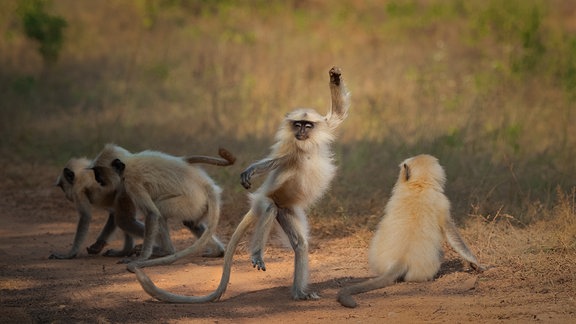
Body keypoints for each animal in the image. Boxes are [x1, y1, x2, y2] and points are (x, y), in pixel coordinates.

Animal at [134, 66, 352, 304]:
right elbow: (273, 162)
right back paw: (257, 254)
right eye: (298, 124)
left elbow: (338, 115)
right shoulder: (289, 150)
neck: (305, 145)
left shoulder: (320, 130)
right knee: (269, 208)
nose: (301, 132)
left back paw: (299, 293)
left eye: (307, 125)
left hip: (287, 210)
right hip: (267, 201)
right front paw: (251, 171)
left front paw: (335, 77)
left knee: (300, 245)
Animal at [338, 156, 486, 308]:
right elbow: (454, 236)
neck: (419, 185)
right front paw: (476, 263)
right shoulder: (442, 202)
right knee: (440, 254)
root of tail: (401, 259)